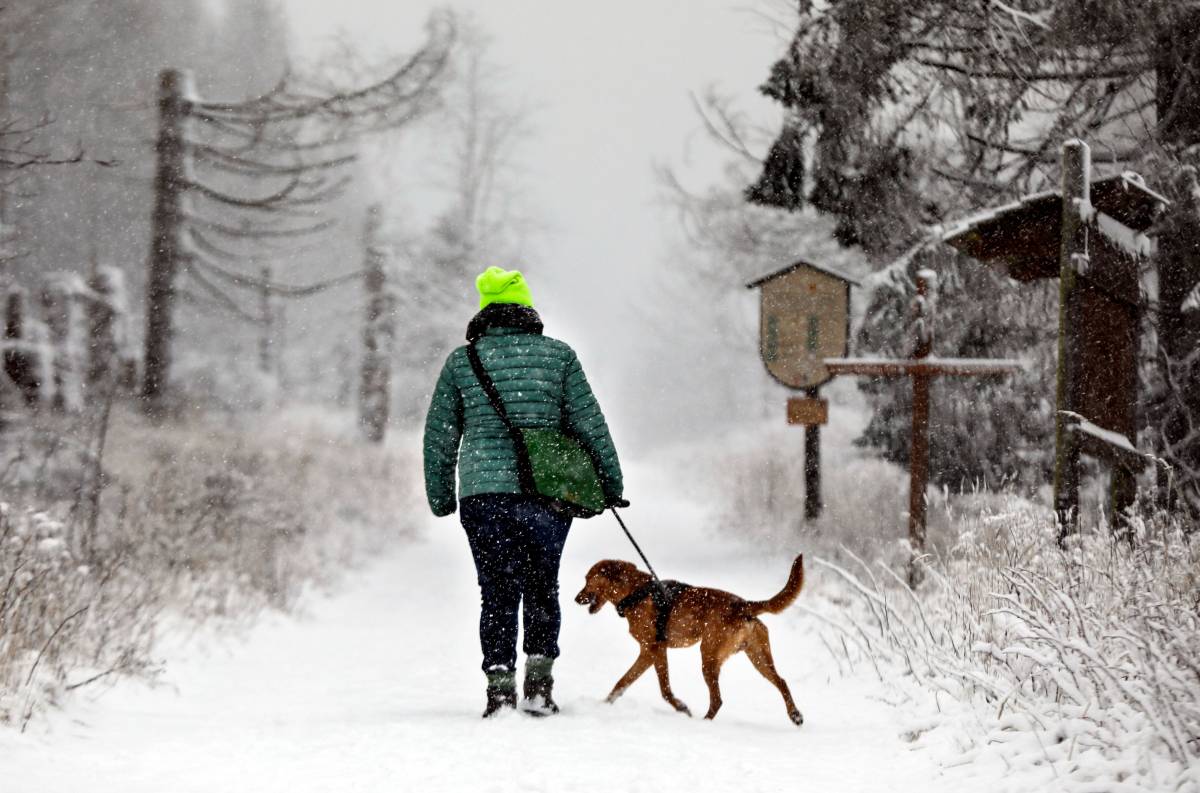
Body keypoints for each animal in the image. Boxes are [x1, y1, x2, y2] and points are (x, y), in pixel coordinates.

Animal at [573, 549, 806, 724]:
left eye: (587, 579)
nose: (576, 598)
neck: (634, 593)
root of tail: (743, 605)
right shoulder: (648, 652)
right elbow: (622, 682)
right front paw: (604, 705)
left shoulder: (654, 649)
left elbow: (664, 690)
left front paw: (682, 708)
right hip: (758, 657)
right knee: (782, 681)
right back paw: (795, 715)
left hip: (709, 656)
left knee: (717, 700)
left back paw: (704, 722)